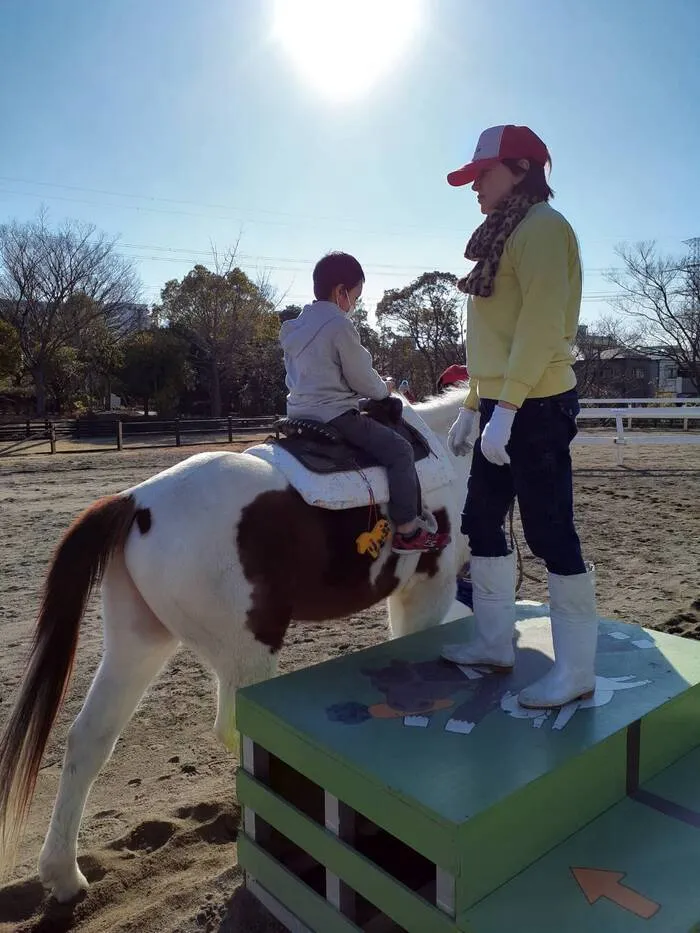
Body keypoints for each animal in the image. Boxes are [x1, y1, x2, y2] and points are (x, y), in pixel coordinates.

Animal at [0, 382, 474, 900]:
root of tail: (136, 502)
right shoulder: (428, 591)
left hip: (137, 643)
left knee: (89, 739)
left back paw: (64, 873)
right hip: (247, 654)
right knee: (234, 730)